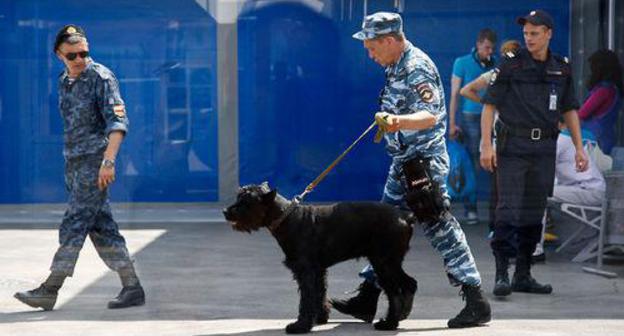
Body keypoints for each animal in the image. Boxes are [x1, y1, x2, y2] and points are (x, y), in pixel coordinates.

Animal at [222, 184, 416, 334]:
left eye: (246, 202)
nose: (225, 211)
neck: (286, 217)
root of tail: (405, 216)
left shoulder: (305, 269)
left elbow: (307, 298)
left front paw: (300, 326)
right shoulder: (319, 270)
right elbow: (319, 293)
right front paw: (320, 318)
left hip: (384, 263)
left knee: (395, 291)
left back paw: (389, 323)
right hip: (389, 263)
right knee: (409, 284)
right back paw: (402, 314)